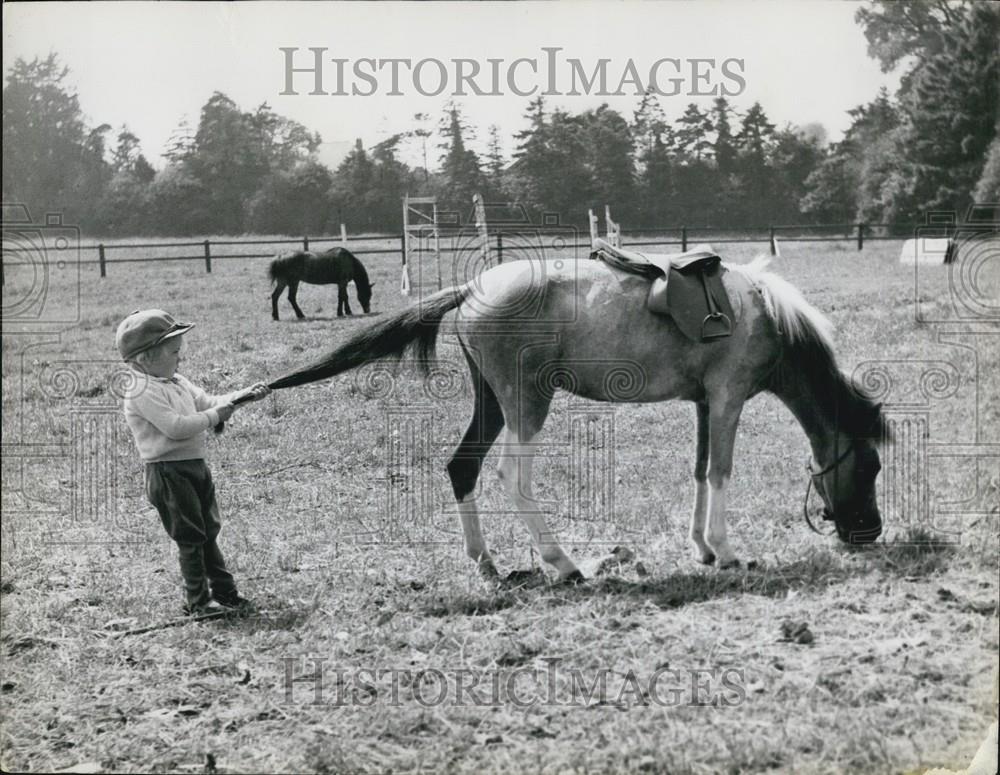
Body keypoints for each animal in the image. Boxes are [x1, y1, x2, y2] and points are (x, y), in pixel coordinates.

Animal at [270, 256, 888, 584]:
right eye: (872, 466)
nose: (869, 532)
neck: (763, 313)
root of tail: (472, 289)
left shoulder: (705, 404)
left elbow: (698, 471)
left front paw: (701, 547)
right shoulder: (728, 399)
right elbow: (720, 473)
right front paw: (726, 550)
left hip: (491, 404)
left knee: (462, 469)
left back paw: (486, 562)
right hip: (524, 407)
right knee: (511, 479)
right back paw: (562, 562)